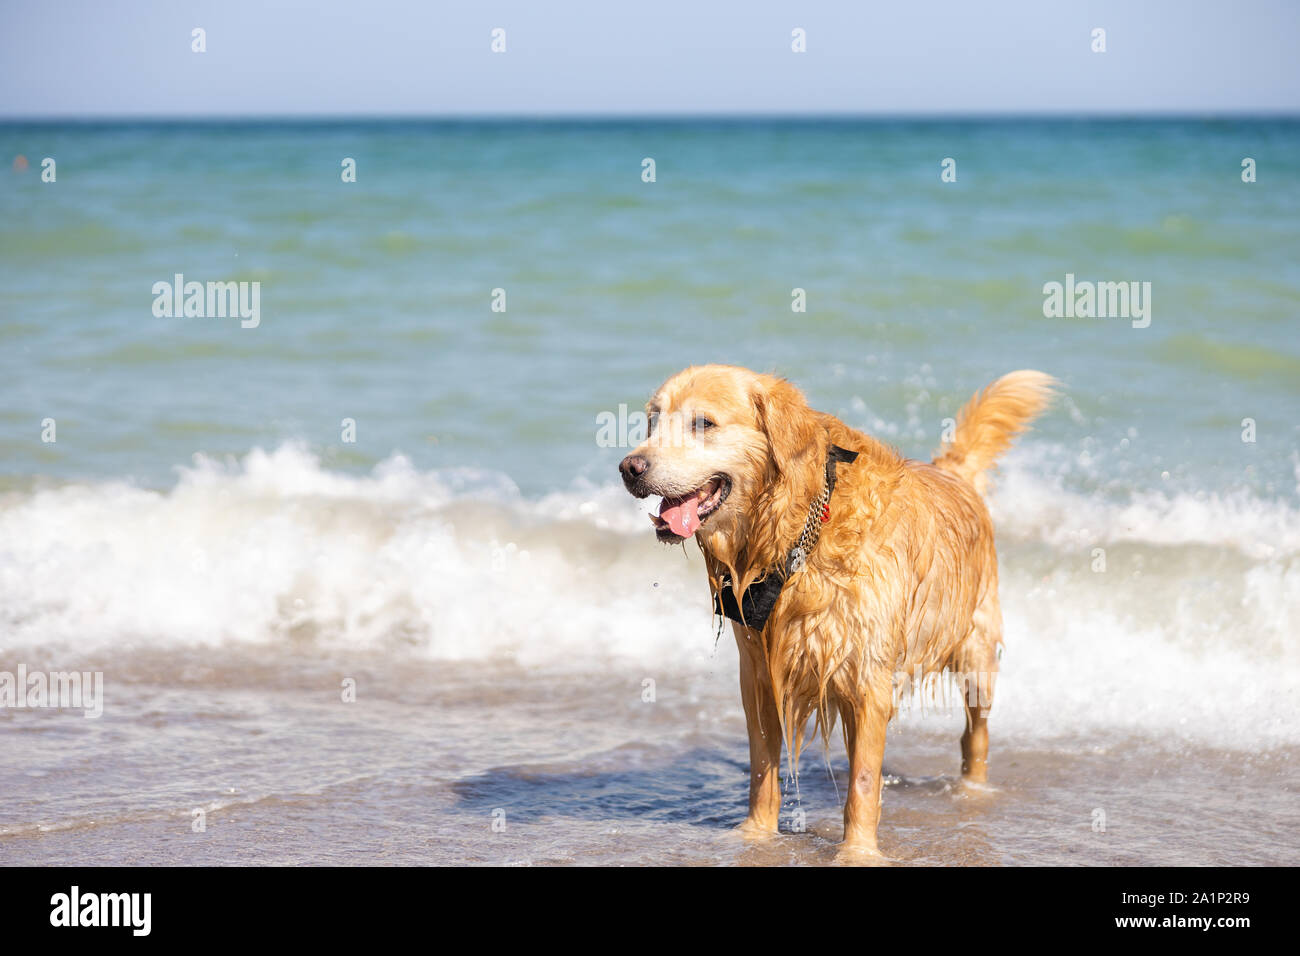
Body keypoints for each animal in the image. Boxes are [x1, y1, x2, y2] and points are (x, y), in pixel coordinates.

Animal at [618, 366, 1055, 858]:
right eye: (652, 422)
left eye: (703, 423)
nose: (630, 468)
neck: (797, 531)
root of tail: (953, 473)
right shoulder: (758, 671)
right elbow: (763, 769)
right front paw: (756, 836)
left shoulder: (867, 674)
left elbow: (863, 781)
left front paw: (858, 852)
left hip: (977, 651)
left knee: (974, 733)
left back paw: (973, 790)